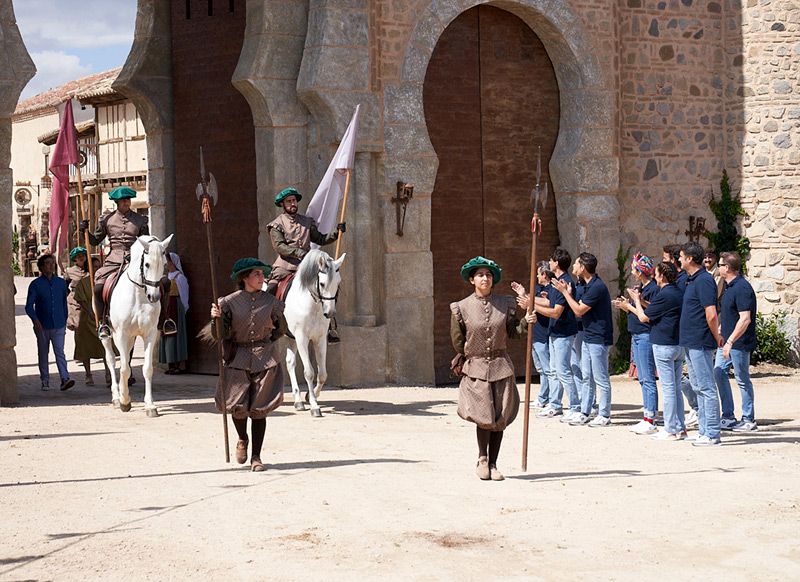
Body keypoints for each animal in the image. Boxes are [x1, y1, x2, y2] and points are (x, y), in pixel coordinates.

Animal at [101, 235, 173, 418]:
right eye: (146, 264)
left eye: (164, 264)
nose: (154, 297)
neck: (139, 293)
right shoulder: (121, 334)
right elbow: (124, 368)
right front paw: (125, 401)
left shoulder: (150, 334)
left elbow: (147, 369)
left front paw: (150, 405)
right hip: (109, 336)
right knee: (111, 360)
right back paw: (116, 397)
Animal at [286, 249, 346, 418]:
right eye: (322, 283)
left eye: (338, 283)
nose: (330, 313)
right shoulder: (302, 339)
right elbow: (309, 372)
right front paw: (314, 405)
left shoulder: (320, 339)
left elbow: (323, 374)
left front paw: (309, 395)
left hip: (291, 338)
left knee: (290, 363)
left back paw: (298, 401)